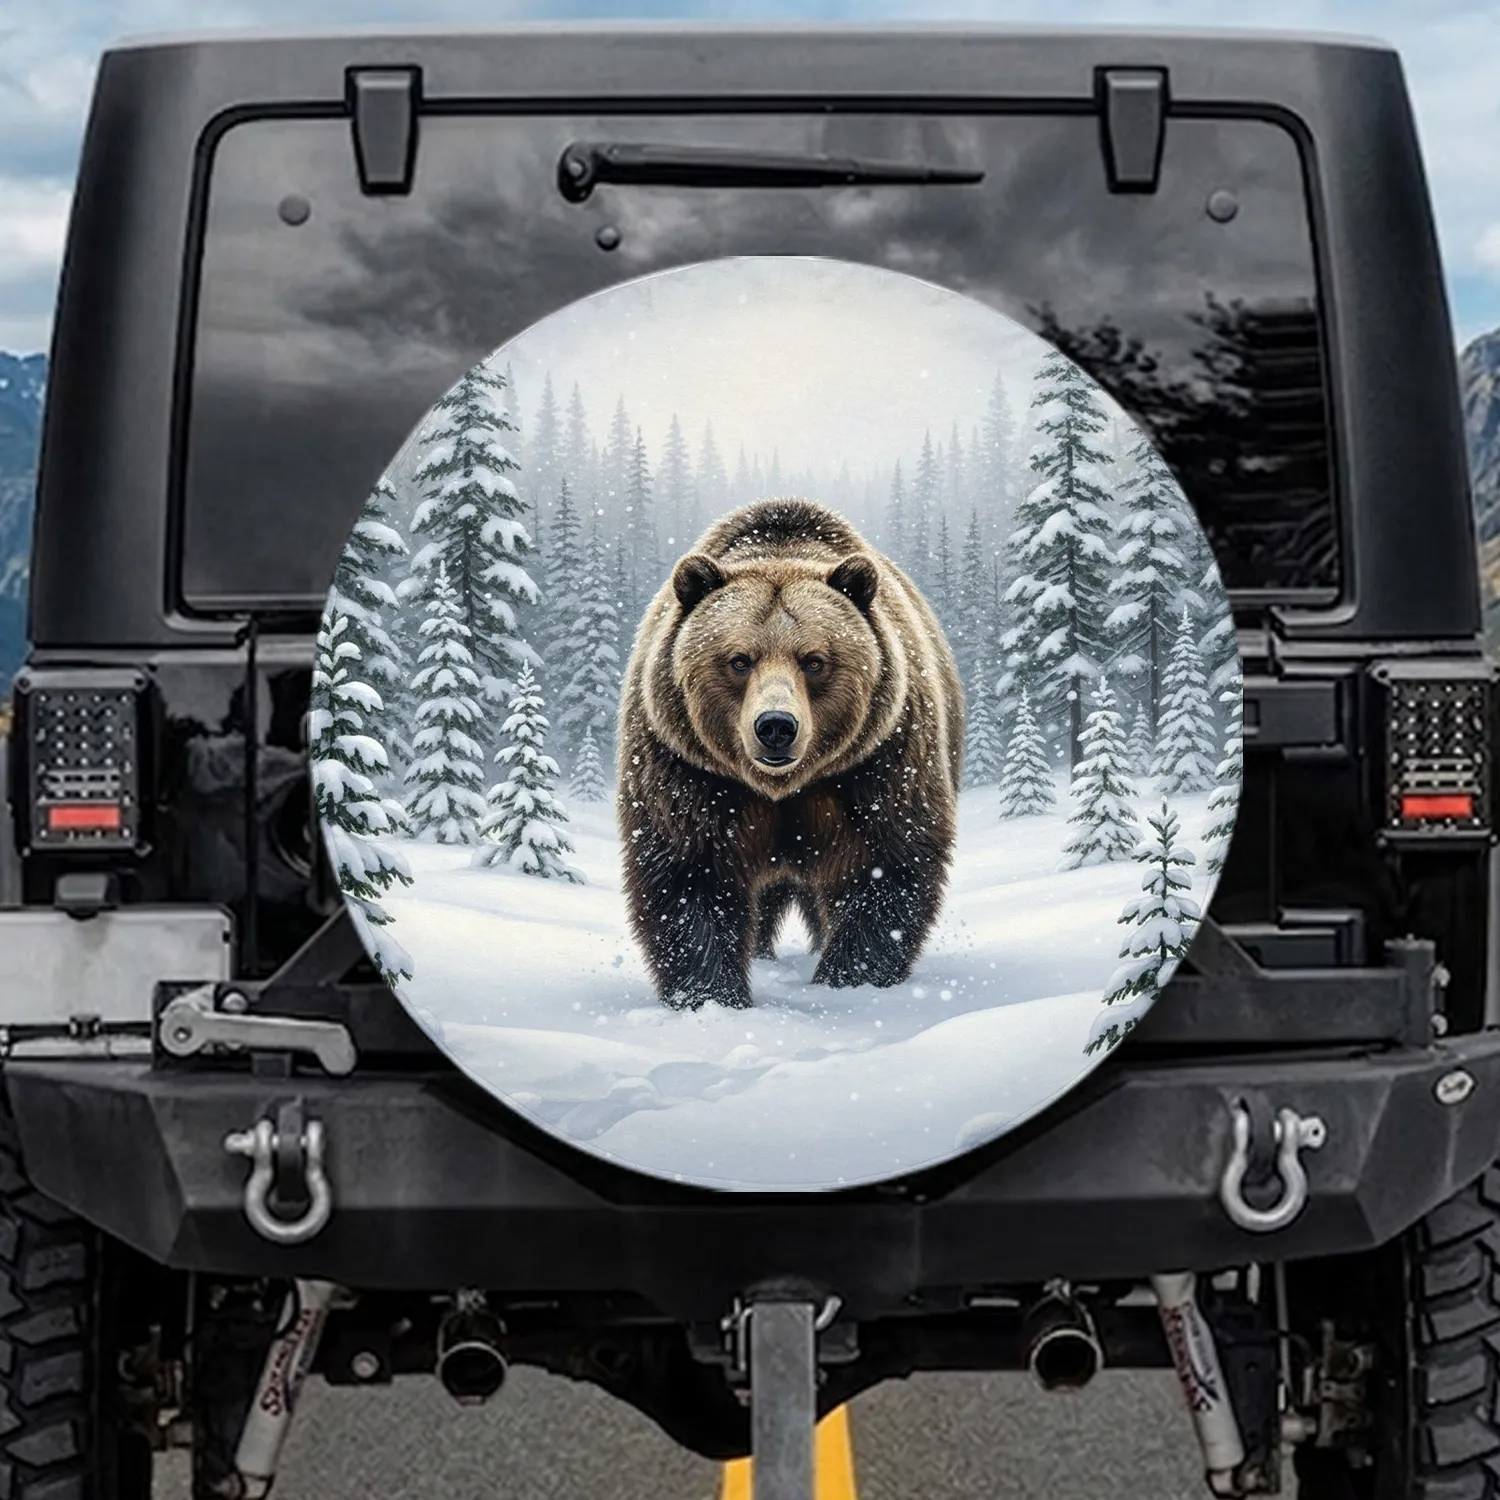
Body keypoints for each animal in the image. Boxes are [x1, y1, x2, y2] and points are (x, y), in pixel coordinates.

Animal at [616, 497, 965, 1010]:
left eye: (814, 660)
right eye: (739, 660)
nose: (776, 727)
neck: (782, 789)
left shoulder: (878, 762)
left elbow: (888, 863)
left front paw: (849, 980)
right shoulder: (688, 770)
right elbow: (687, 875)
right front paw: (711, 994)